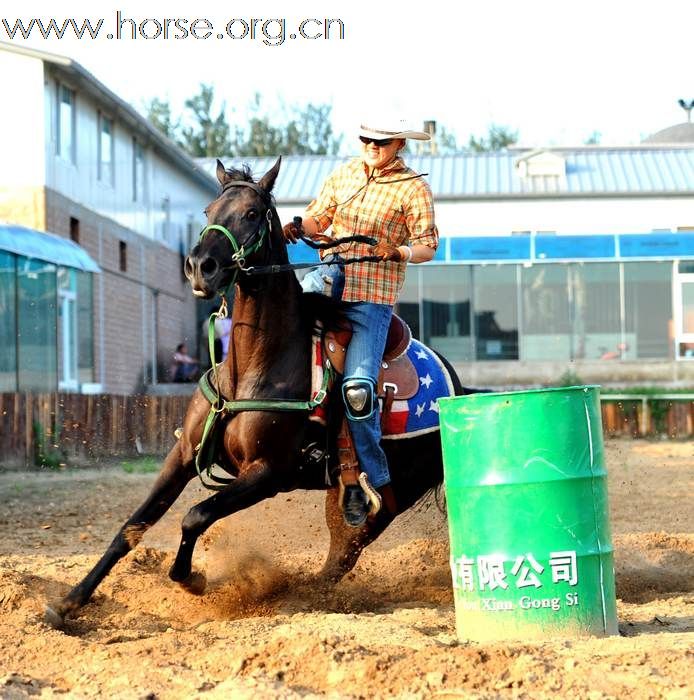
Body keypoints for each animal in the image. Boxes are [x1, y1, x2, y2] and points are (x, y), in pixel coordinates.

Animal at [46, 157, 464, 624]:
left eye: (251, 213)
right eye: (208, 210)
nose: (200, 266)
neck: (255, 365)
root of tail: (459, 389)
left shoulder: (266, 473)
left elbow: (195, 515)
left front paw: (192, 579)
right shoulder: (183, 454)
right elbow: (132, 527)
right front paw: (70, 601)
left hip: (387, 499)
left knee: (341, 558)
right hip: (339, 496)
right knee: (336, 555)